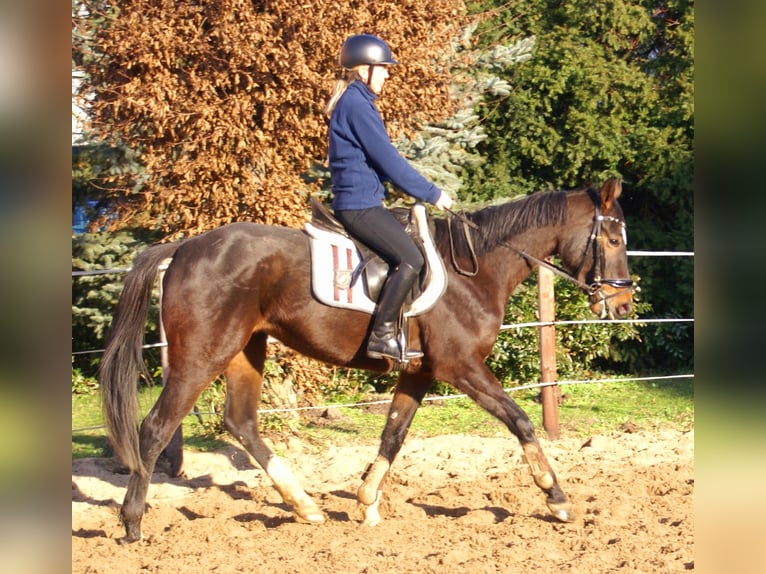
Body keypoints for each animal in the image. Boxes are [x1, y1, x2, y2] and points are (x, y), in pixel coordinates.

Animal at [99, 178, 635, 542]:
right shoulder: (461, 367)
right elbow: (520, 420)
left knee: (241, 422)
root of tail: (186, 246)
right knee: (156, 427)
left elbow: (393, 435)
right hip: (201, 354)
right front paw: (557, 498)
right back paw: (132, 523)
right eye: (613, 240)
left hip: (244, 349)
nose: (624, 303)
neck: (477, 270)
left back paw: (305, 506)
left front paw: (367, 503)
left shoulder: (419, 372)